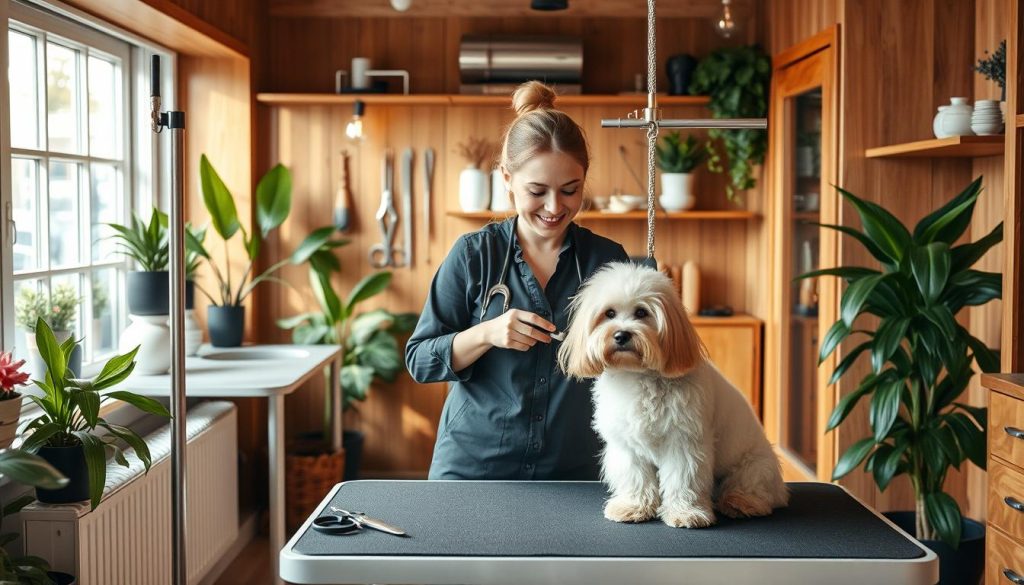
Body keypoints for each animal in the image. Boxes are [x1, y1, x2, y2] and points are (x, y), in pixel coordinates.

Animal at [561, 262, 782, 528]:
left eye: (641, 313)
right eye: (609, 313)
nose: (621, 335)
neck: (640, 377)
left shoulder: (684, 442)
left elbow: (683, 479)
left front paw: (685, 512)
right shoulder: (627, 445)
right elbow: (635, 476)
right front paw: (633, 506)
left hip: (754, 467)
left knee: (756, 491)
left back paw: (739, 502)